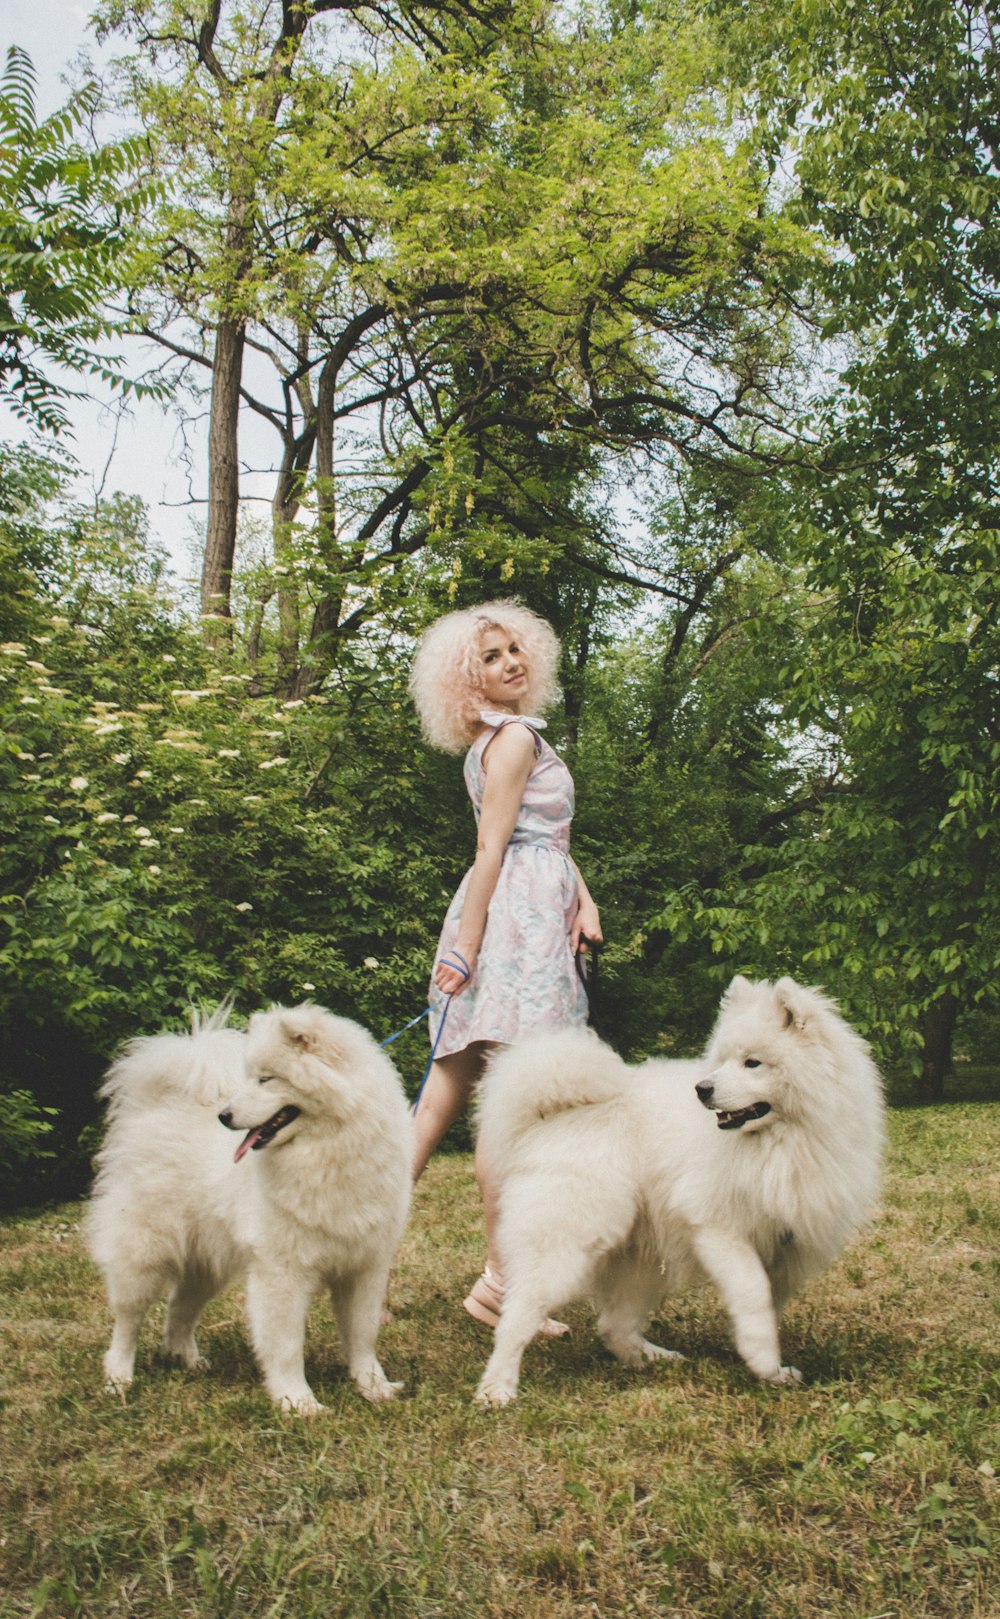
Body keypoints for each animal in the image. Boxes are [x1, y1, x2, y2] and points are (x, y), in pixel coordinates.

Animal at [85, 1003, 411, 1411]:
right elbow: (287, 1344)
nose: (224, 1116)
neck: (329, 1152)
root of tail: (155, 1109)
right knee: (128, 1318)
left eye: (266, 1079)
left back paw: (187, 1361)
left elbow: (363, 1334)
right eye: (251, 1078)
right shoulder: (282, 1271)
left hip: (204, 1263)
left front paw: (373, 1387)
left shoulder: (365, 1266)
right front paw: (298, 1402)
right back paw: (119, 1378)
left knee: (179, 1308)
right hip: (144, 1253)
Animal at [472, 971, 873, 1405]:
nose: (702, 1088)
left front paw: (770, 1367)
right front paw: (765, 1365)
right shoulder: (719, 1229)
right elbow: (753, 1292)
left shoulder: (786, 1247)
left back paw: (653, 1359)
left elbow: (767, 1305)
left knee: (613, 1326)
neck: (779, 1143)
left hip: (642, 1259)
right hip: (567, 1242)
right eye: (723, 1060)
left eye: (752, 1063)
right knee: (517, 1317)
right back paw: (497, 1388)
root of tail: (549, 1117)